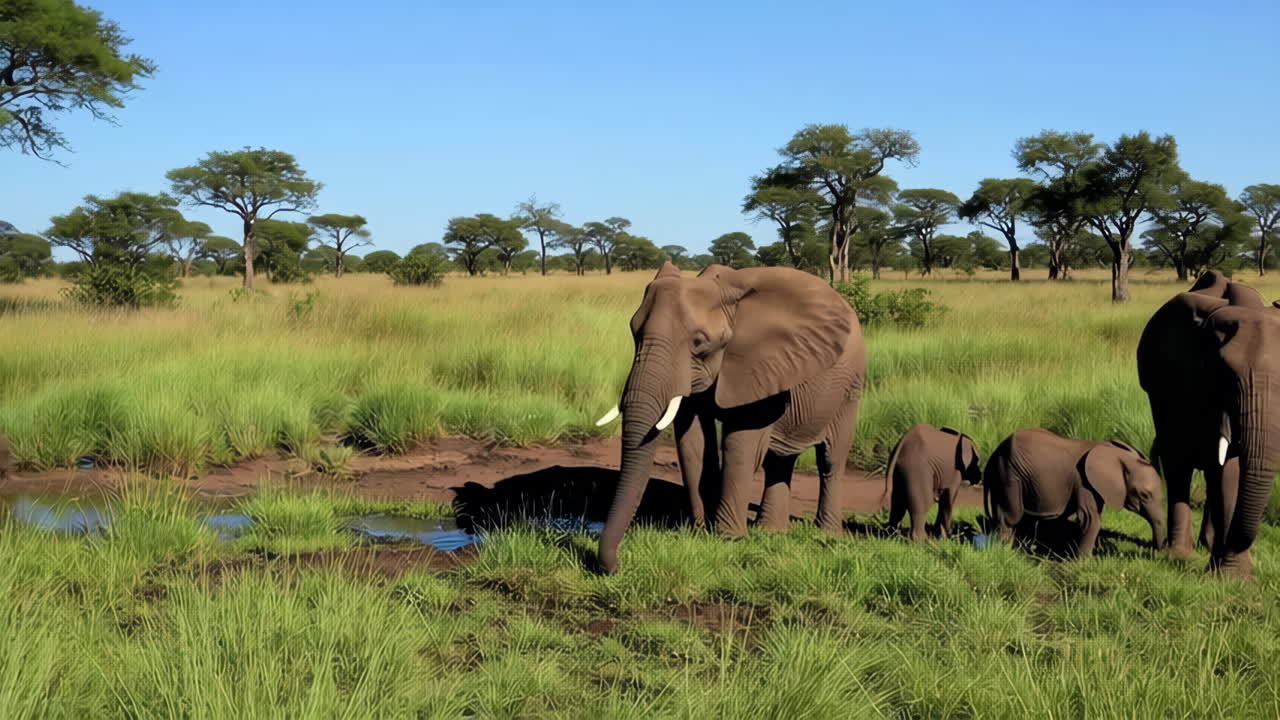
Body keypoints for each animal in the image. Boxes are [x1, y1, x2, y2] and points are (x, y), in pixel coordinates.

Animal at [593, 262, 866, 574]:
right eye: (633, 332)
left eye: (699, 342)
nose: (617, 566)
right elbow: (694, 443)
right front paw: (701, 531)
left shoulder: (758, 364)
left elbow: (740, 446)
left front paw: (728, 538)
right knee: (779, 461)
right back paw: (770, 532)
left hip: (851, 386)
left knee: (830, 460)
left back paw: (827, 534)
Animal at [983, 428, 1166, 557]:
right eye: (1144, 495)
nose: (1157, 552)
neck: (1115, 454)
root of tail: (994, 453)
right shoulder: (1083, 483)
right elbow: (1089, 519)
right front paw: (1081, 561)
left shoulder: (1094, 487)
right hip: (1010, 474)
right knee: (1011, 515)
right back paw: (1005, 550)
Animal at [1137, 269, 1280, 576]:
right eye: (1224, 372)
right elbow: (1226, 469)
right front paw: (1231, 577)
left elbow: (1229, 468)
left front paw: (1233, 575)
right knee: (1177, 460)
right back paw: (1179, 554)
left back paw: (1206, 545)